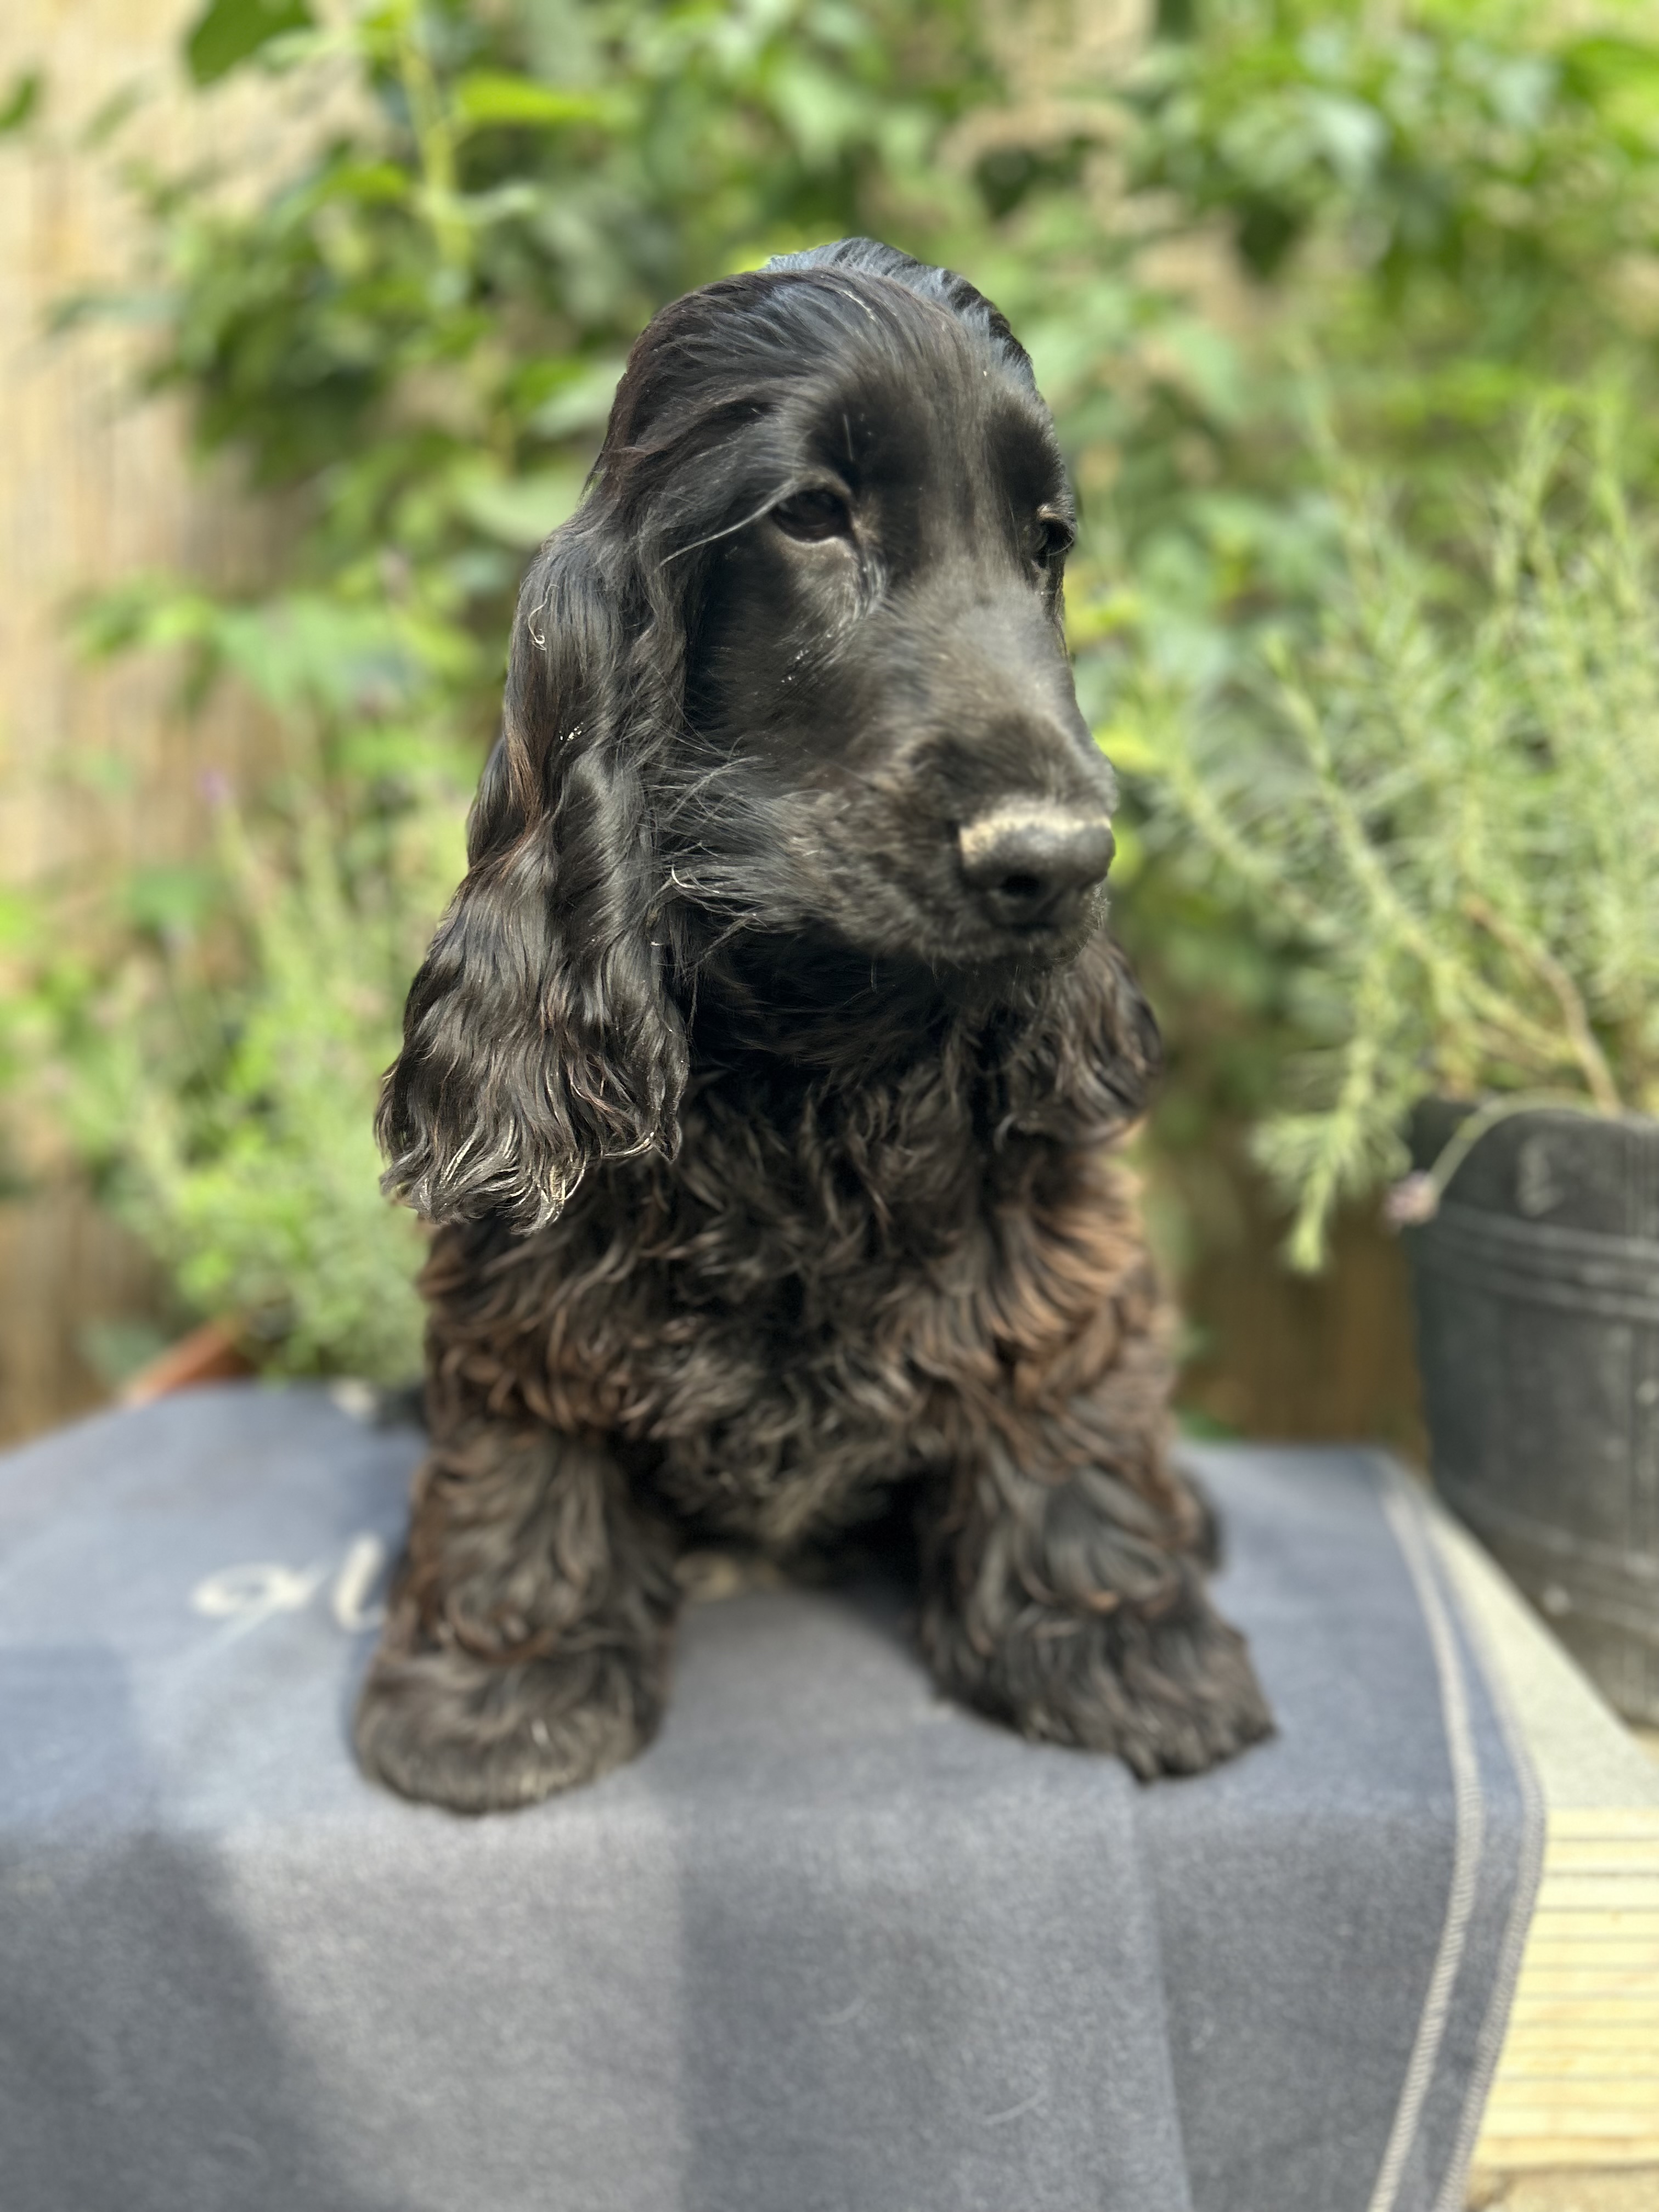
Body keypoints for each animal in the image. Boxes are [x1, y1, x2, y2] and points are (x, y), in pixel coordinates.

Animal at [360, 238, 1274, 1814]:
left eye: (1047, 544)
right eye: (810, 517)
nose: (1061, 862)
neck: (821, 1033)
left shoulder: (1050, 1237)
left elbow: (1063, 1399)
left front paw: (1117, 1637)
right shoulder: (527, 1279)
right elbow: (525, 1453)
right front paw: (500, 1687)